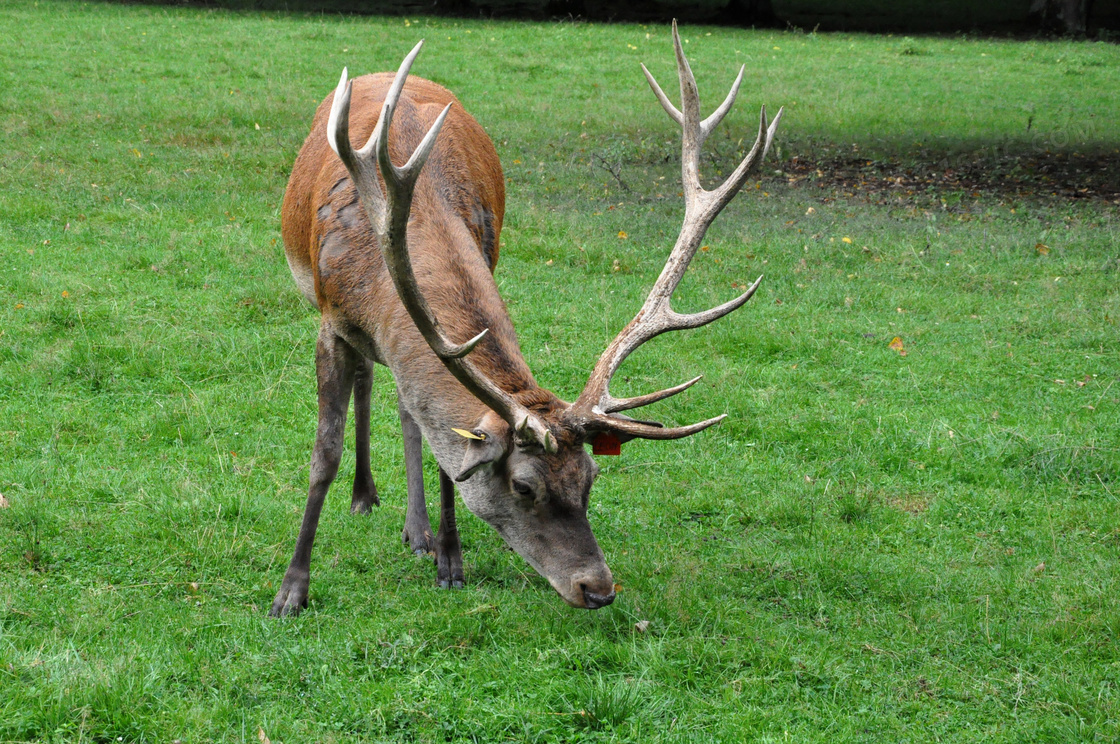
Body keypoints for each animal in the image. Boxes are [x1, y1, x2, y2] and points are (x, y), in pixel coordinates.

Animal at [267, 23, 784, 614]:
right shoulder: (331, 321)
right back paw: (364, 495)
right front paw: (291, 590)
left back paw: (417, 531)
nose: (598, 588)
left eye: (591, 477)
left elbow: (447, 450)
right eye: (524, 486)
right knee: (368, 380)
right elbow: (323, 454)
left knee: (405, 403)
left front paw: (450, 560)